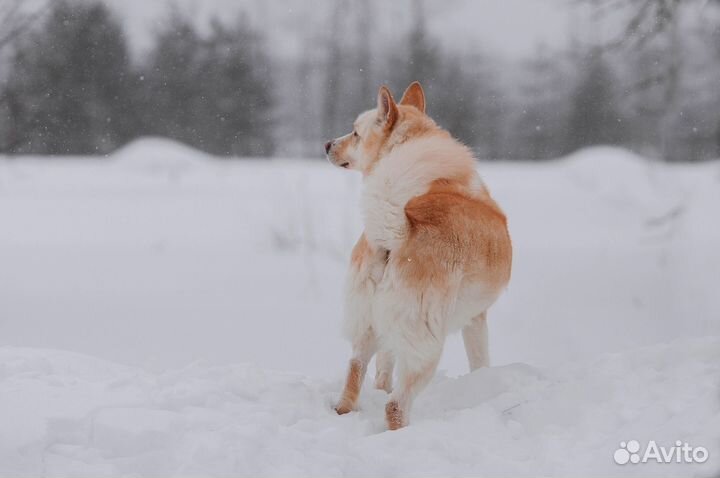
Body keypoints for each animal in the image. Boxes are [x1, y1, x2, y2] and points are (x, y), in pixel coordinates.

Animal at [326, 81, 512, 430]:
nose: (327, 144)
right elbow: (480, 362)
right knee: (396, 406)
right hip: (426, 346)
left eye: (355, 133)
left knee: (354, 376)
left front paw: (380, 387)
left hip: (367, 328)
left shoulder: (387, 329)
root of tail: (402, 229)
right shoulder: (476, 319)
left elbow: (383, 371)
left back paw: (347, 410)